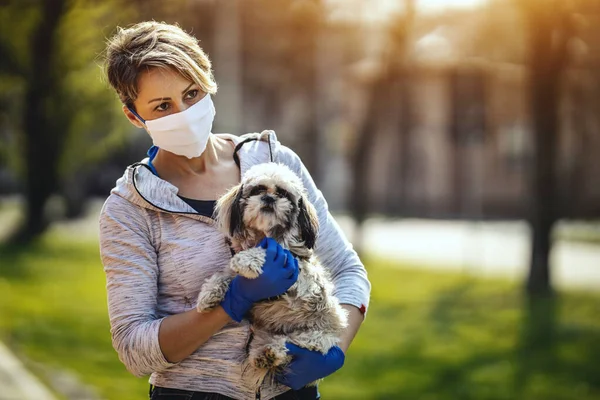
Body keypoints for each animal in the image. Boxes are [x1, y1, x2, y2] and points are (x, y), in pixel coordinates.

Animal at [195, 162, 350, 388]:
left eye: (283, 193)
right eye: (258, 190)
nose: (269, 198)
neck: (264, 235)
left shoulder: (299, 272)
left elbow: (263, 253)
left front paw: (247, 259)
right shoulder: (238, 277)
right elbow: (224, 275)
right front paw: (209, 294)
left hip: (318, 332)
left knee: (294, 344)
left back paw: (273, 351)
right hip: (263, 331)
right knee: (266, 342)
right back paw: (263, 354)